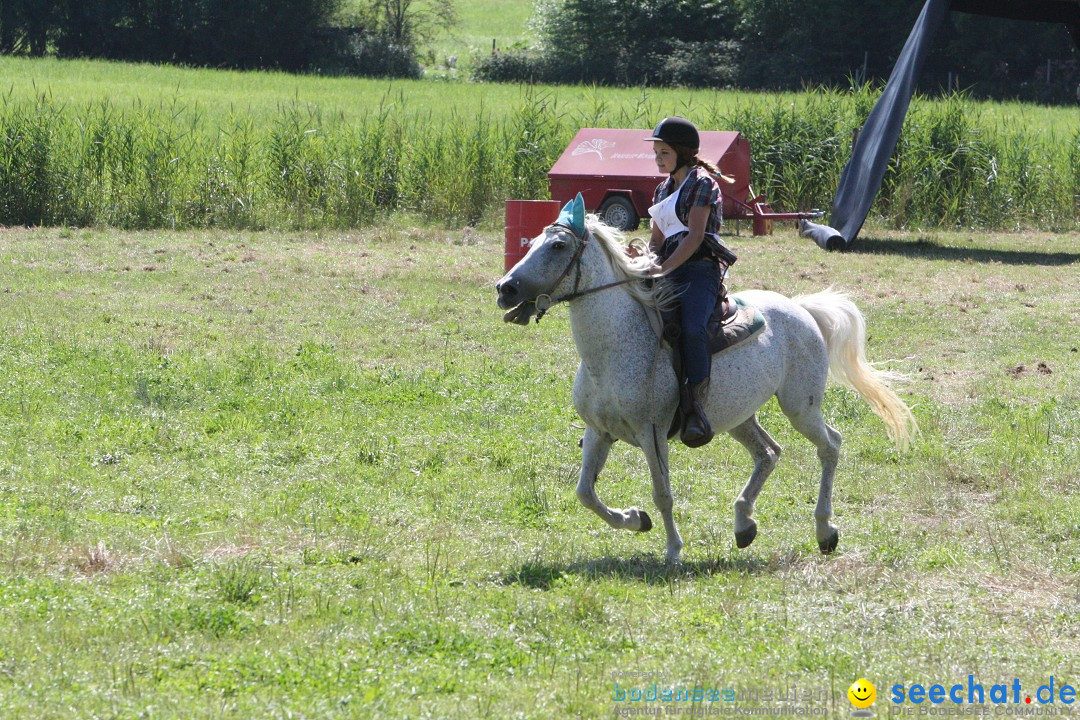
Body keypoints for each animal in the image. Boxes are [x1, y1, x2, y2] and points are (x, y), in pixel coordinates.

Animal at [494, 212, 915, 561]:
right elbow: (585, 493)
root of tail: (800, 308)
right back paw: (744, 524)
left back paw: (825, 530)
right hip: (735, 416)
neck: (613, 348)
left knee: (830, 445)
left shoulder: (652, 434)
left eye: (558, 246)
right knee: (768, 452)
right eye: (532, 241)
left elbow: (663, 493)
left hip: (801, 407)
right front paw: (635, 519)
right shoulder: (598, 431)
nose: (505, 288)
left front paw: (673, 551)